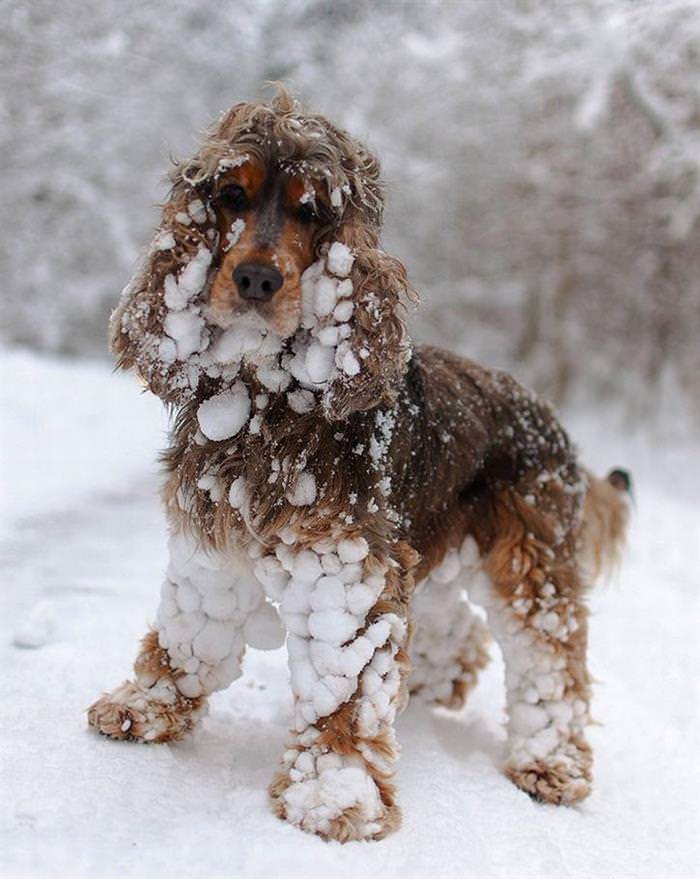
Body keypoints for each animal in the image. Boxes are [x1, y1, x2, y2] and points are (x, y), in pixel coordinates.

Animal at [87, 86, 628, 844]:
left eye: (313, 210)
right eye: (230, 194)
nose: (256, 277)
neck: (268, 398)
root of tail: (552, 420)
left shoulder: (344, 565)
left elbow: (343, 686)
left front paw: (332, 796)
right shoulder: (211, 539)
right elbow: (189, 631)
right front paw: (146, 704)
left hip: (530, 559)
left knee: (553, 661)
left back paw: (551, 763)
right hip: (430, 540)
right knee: (459, 626)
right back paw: (433, 684)